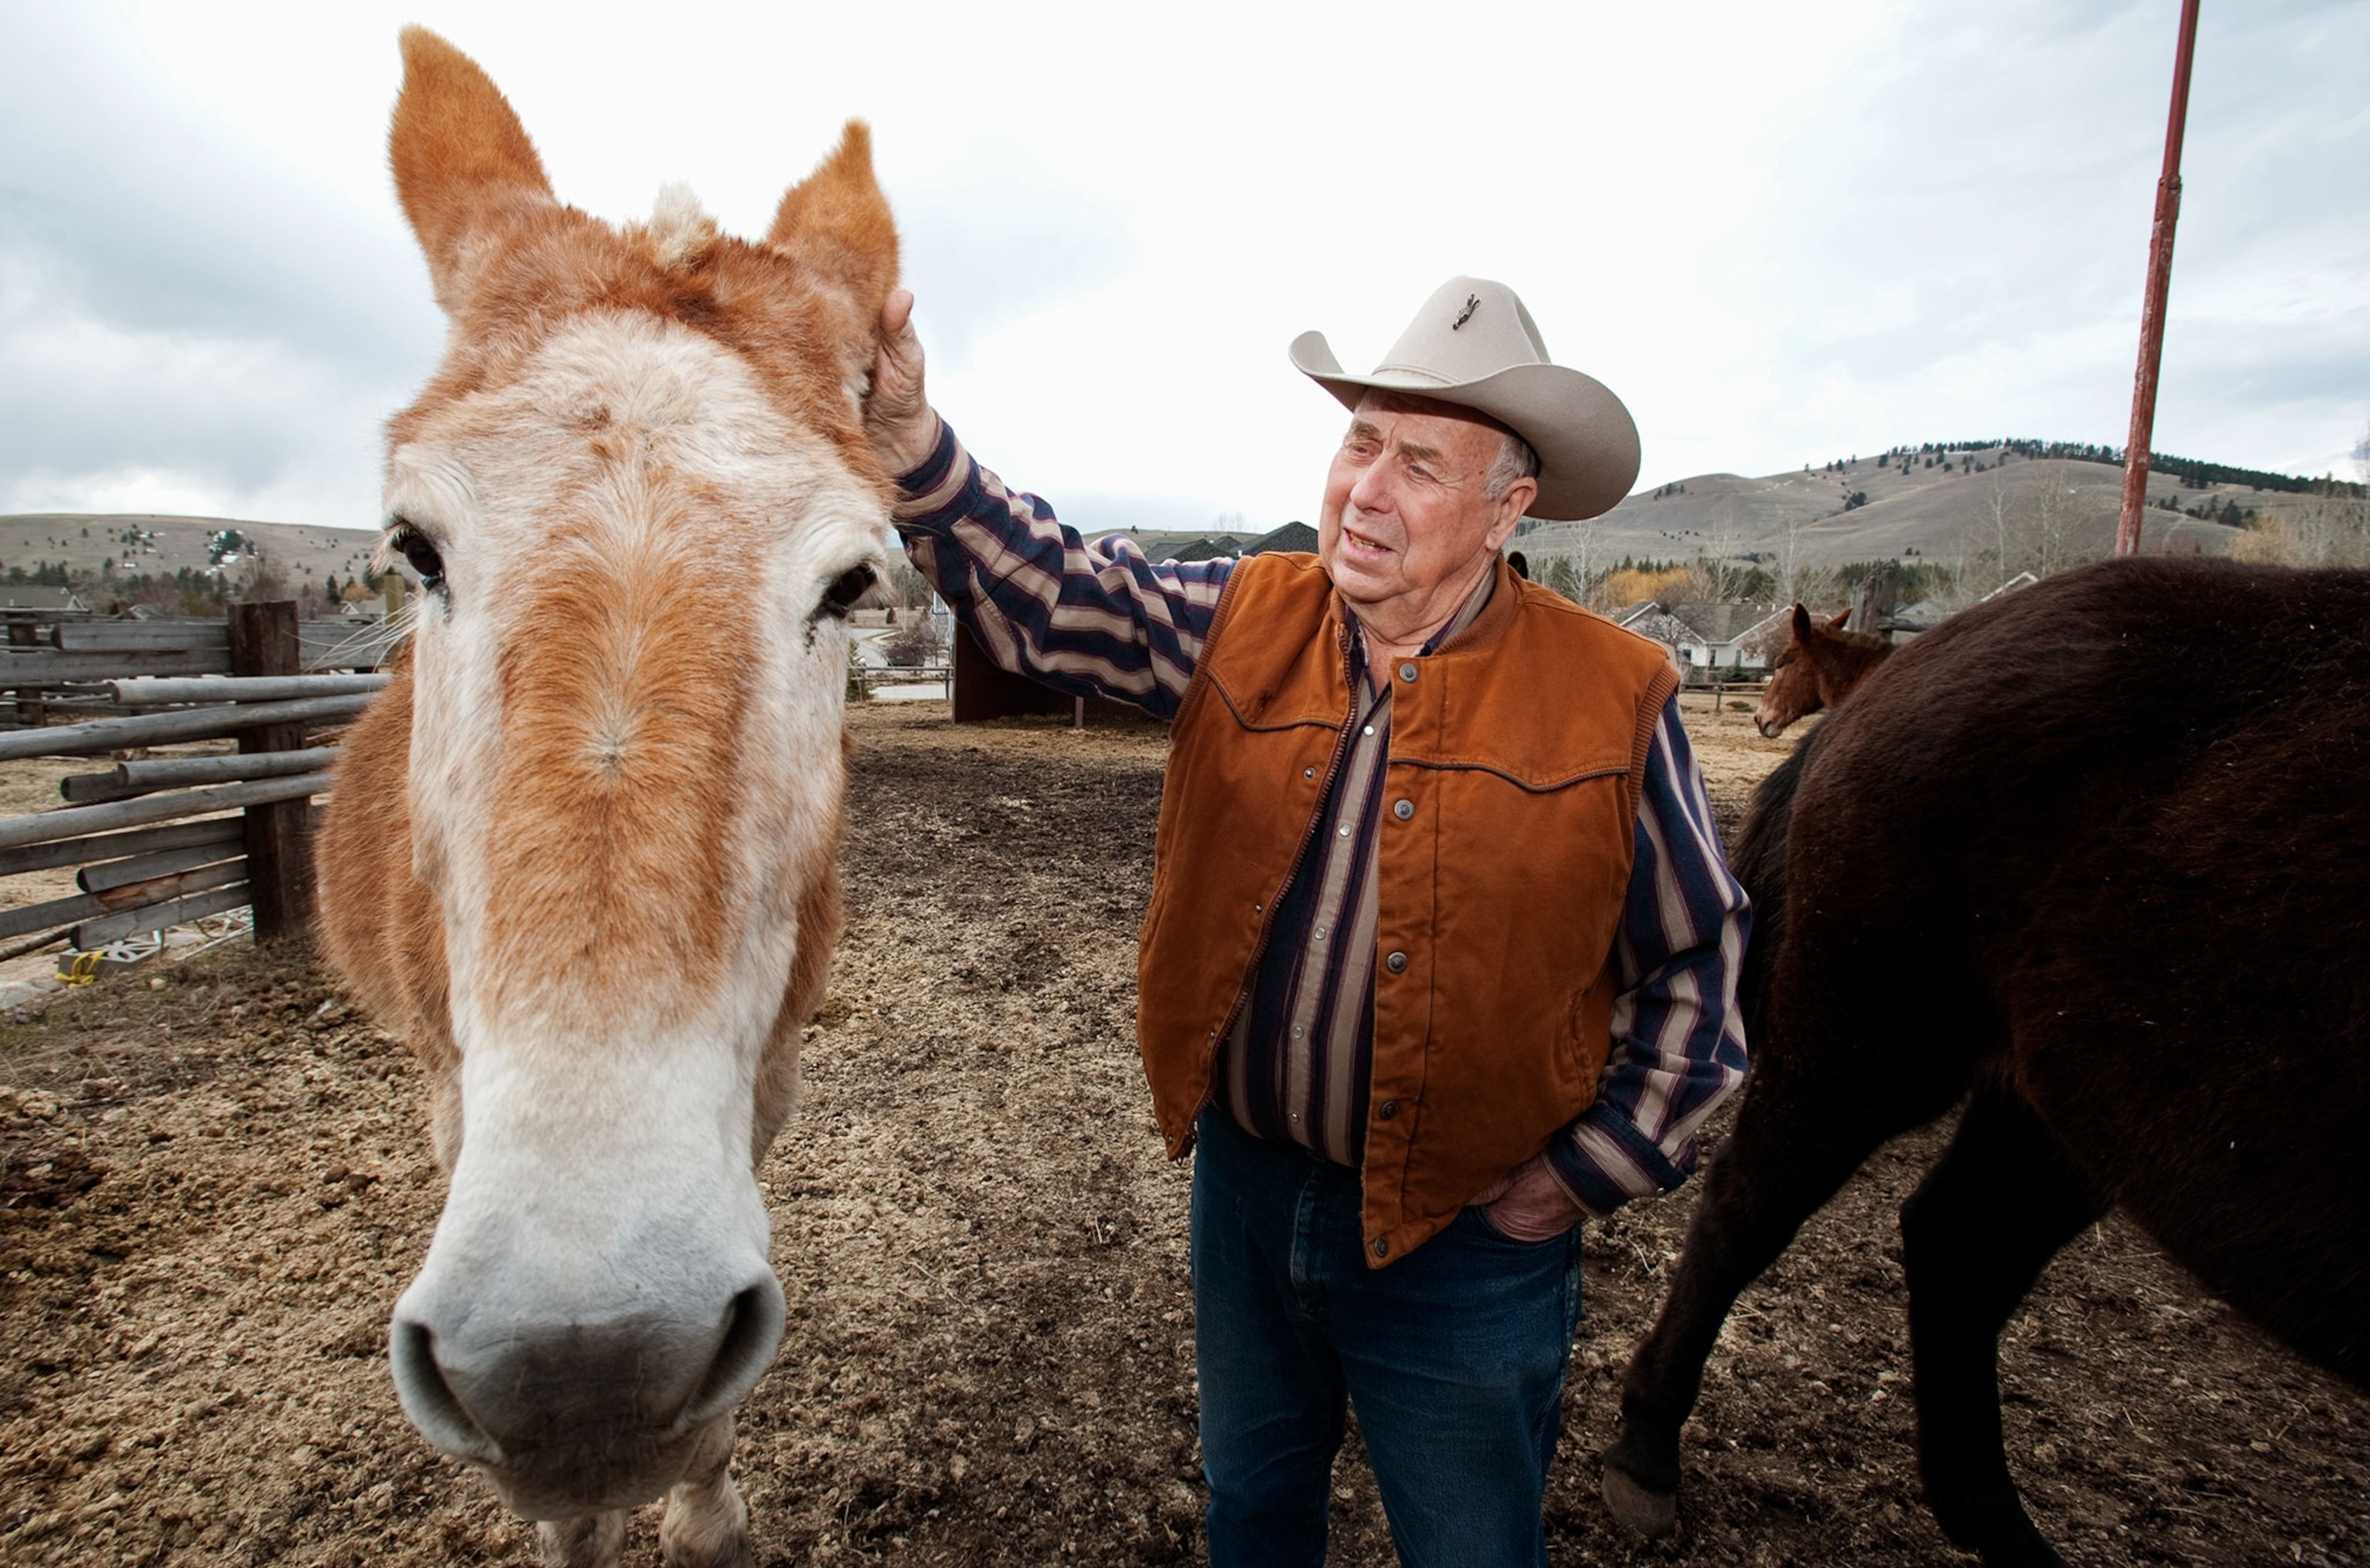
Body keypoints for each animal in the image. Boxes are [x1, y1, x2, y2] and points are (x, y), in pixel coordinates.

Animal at [316, 29, 894, 1568]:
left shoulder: (764, 1087)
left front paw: (700, 1508)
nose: (583, 1361)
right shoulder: (456, 1096)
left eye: (855, 582)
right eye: (413, 547)